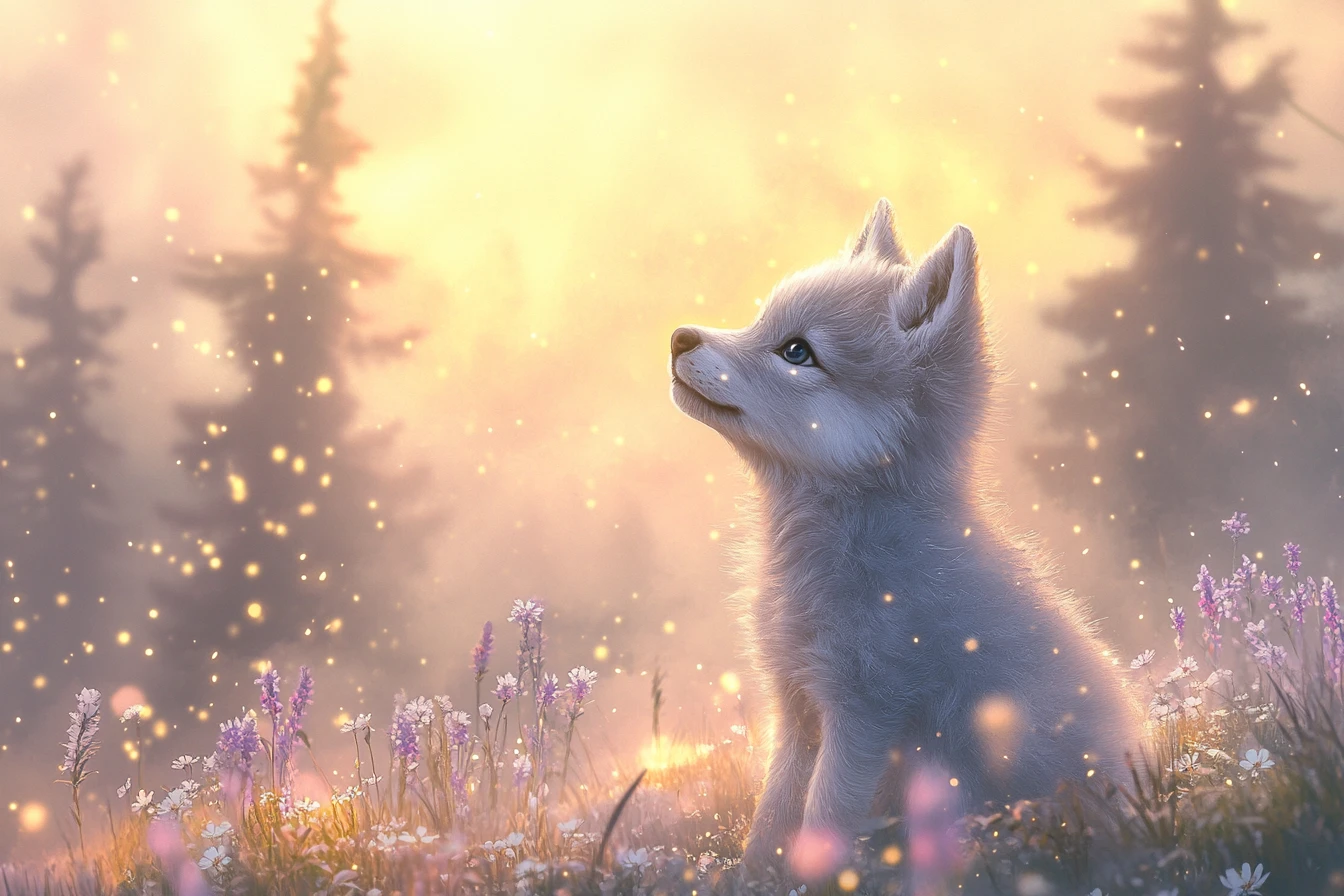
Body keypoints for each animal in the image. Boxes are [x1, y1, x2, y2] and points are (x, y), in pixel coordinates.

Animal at [668, 199, 1139, 875]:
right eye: (759, 320)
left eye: (797, 352)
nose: (679, 336)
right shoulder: (797, 708)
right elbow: (770, 825)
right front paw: (755, 880)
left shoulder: (864, 714)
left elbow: (823, 823)